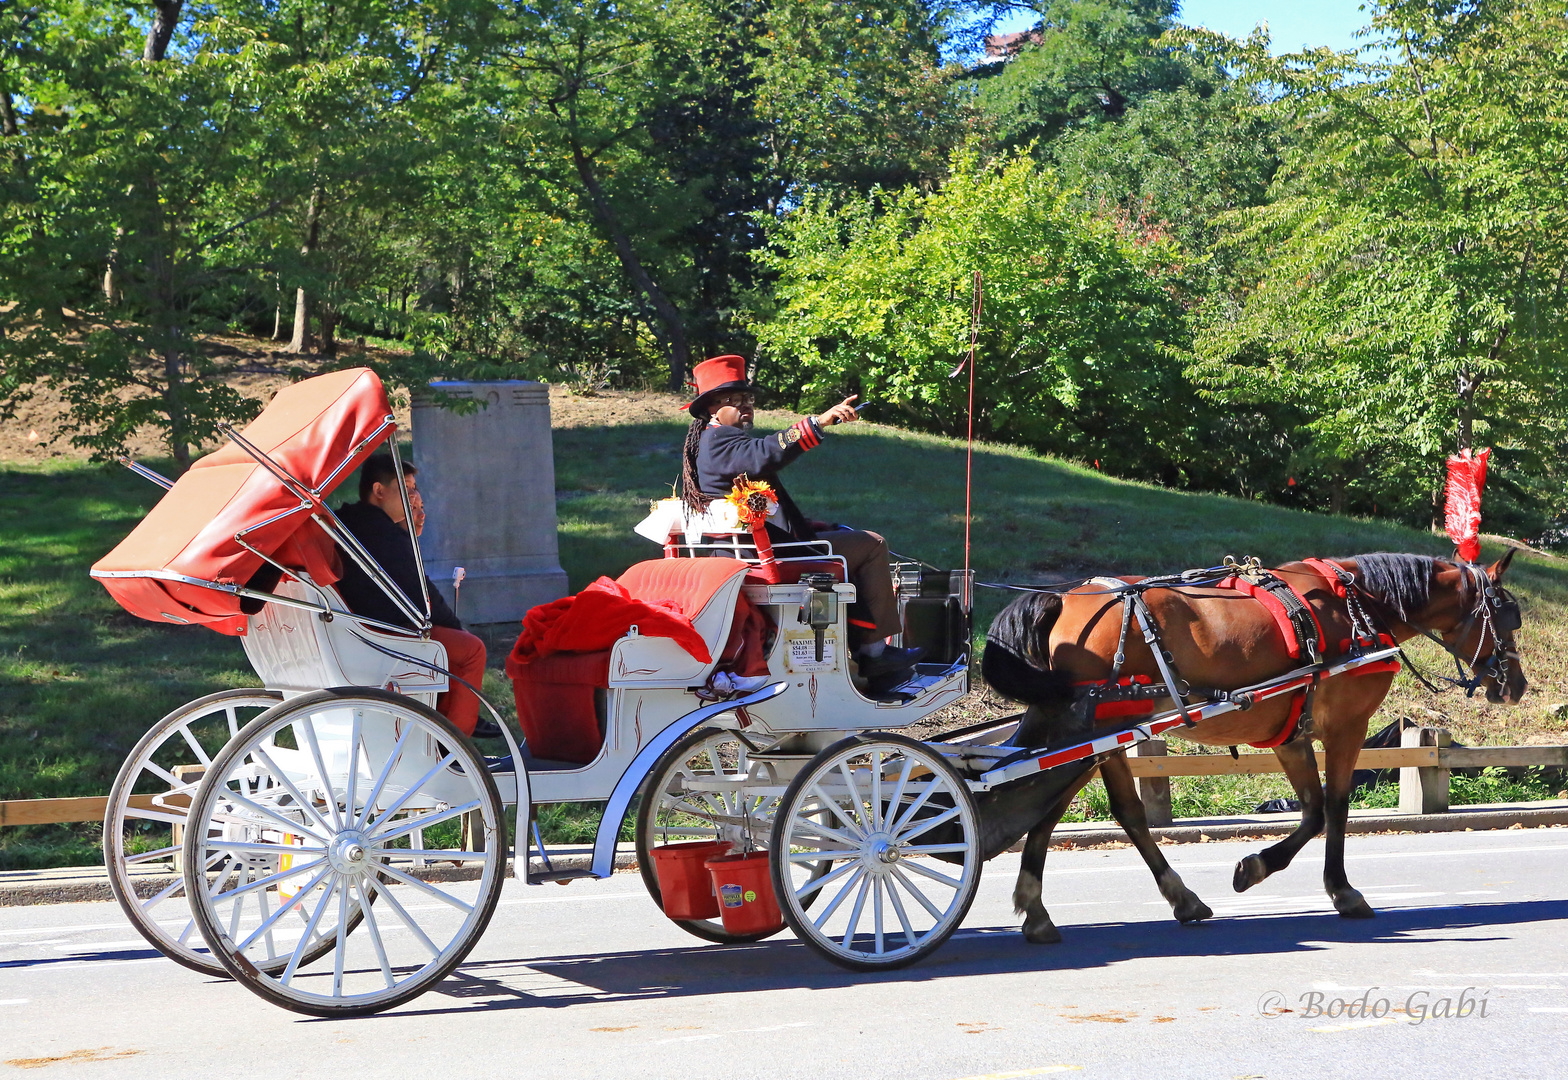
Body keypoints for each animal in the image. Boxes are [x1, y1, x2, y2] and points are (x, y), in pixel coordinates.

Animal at [984, 551, 1524, 940]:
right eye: (1510, 619)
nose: (1515, 686)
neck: (1361, 607)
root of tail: (1063, 600)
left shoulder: (1292, 733)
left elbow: (1312, 810)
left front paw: (1258, 866)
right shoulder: (1347, 726)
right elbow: (1336, 807)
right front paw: (1340, 890)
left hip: (1087, 731)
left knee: (1088, 809)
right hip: (1095, 731)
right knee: (1056, 806)